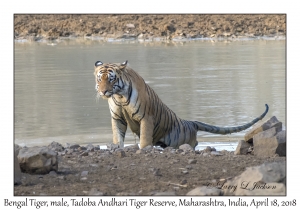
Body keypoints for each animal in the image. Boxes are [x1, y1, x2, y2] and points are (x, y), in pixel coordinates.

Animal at [92, 60, 268, 149]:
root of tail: (190, 122)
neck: (119, 96)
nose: (103, 91)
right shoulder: (117, 117)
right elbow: (117, 135)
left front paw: (143, 149)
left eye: (111, 79)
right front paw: (116, 147)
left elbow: (145, 139)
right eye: (100, 79)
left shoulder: (146, 118)